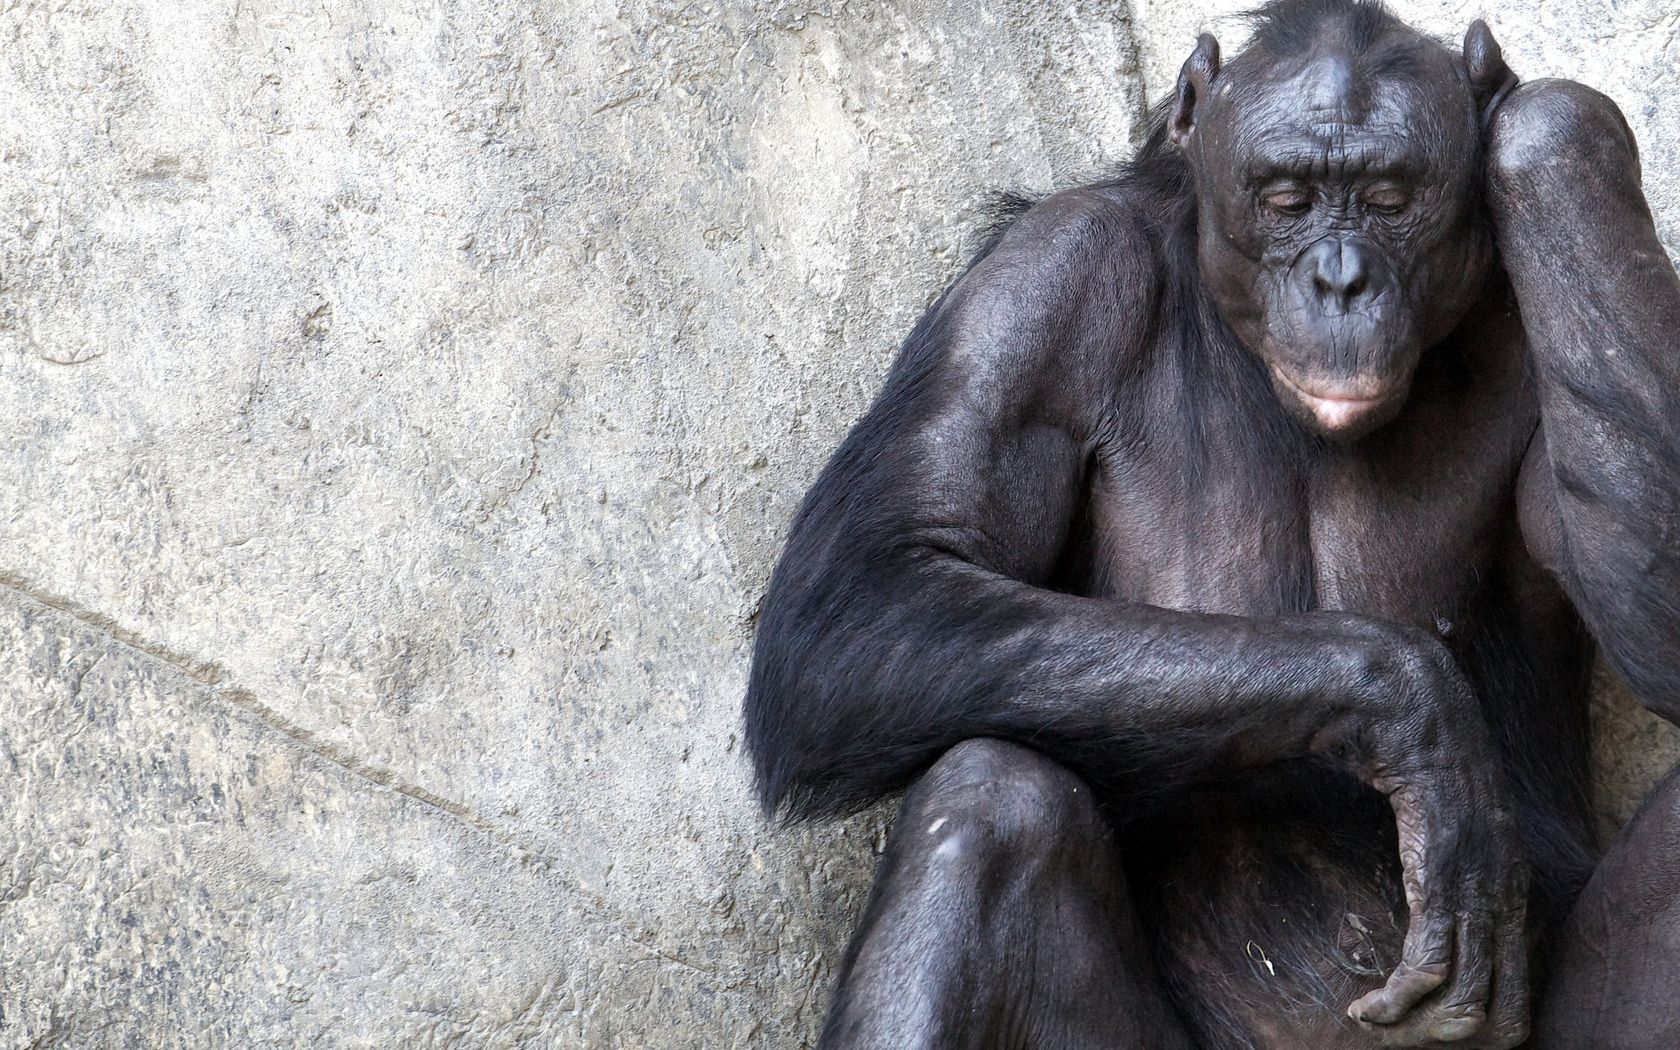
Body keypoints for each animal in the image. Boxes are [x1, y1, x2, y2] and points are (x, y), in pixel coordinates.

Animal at [742, 2, 1680, 1041]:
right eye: (1288, 200)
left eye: (1390, 200)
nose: (1341, 279)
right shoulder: (1041, 284)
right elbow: (872, 589)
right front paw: (1417, 713)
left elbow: (1659, 615)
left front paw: (1541, 123)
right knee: (989, 800)